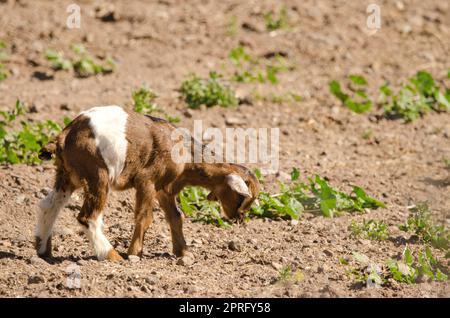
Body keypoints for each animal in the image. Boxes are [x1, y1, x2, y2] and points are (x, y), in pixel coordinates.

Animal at [36, 106, 260, 260]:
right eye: (241, 197)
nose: (239, 219)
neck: (185, 153)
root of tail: (64, 135)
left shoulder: (165, 189)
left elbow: (175, 217)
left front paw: (183, 252)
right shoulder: (147, 181)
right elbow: (145, 217)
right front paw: (134, 253)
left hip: (67, 175)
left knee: (49, 205)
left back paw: (43, 250)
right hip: (97, 174)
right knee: (88, 217)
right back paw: (111, 256)